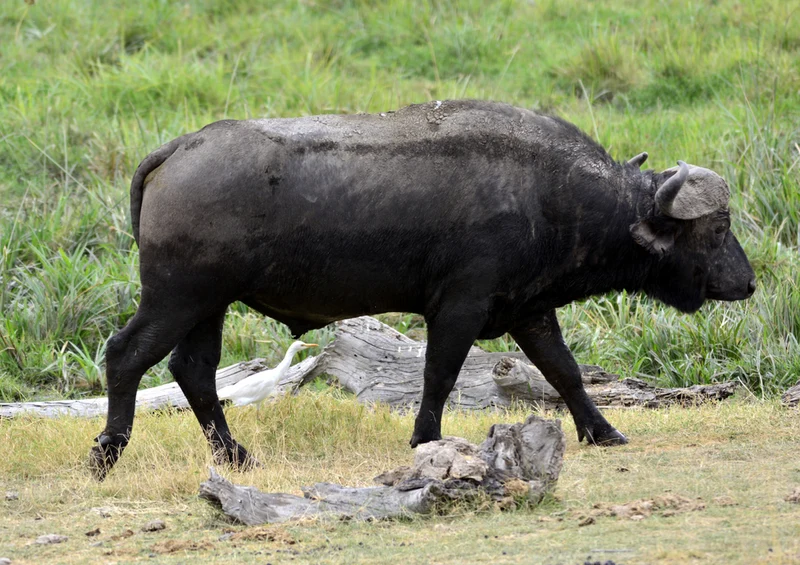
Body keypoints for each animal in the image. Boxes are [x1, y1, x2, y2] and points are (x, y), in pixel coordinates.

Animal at [90, 100, 756, 478]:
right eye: (716, 228)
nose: (747, 282)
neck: (547, 191)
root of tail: (180, 149)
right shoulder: (459, 306)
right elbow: (439, 373)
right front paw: (426, 440)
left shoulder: (530, 310)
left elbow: (564, 372)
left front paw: (603, 431)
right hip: (176, 297)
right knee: (125, 356)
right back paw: (108, 452)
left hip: (208, 306)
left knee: (194, 371)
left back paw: (235, 456)